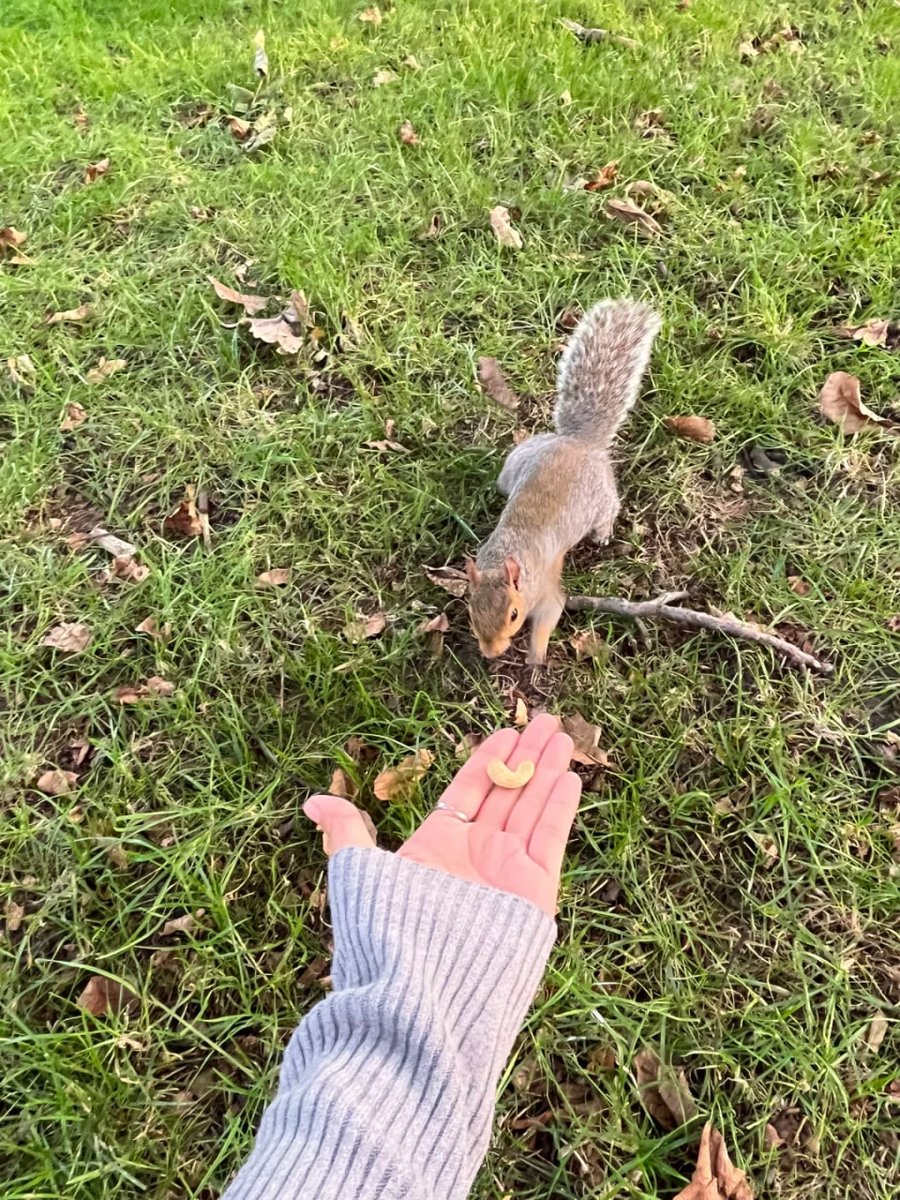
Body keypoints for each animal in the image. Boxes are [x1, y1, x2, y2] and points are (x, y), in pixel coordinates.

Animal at [466, 298, 661, 664]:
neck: (507, 556)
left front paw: (535, 657)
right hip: (518, 461)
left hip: (601, 495)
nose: (490, 653)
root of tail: (577, 441)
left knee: (609, 509)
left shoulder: (547, 591)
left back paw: (602, 534)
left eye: (514, 614)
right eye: (471, 612)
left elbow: (550, 615)